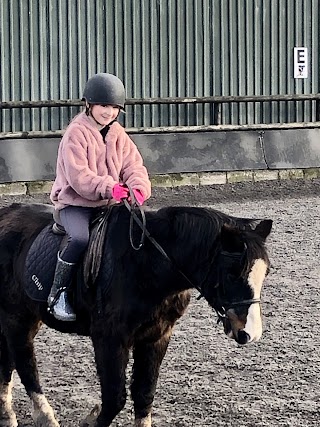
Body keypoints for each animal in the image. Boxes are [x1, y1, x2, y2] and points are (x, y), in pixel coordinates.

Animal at [0, 202, 272, 426]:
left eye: (265, 272)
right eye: (232, 273)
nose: (250, 333)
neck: (147, 264)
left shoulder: (157, 336)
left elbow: (144, 392)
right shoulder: (109, 338)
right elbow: (114, 398)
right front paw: (89, 420)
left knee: (8, 361)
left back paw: (7, 415)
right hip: (17, 317)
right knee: (25, 365)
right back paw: (45, 417)